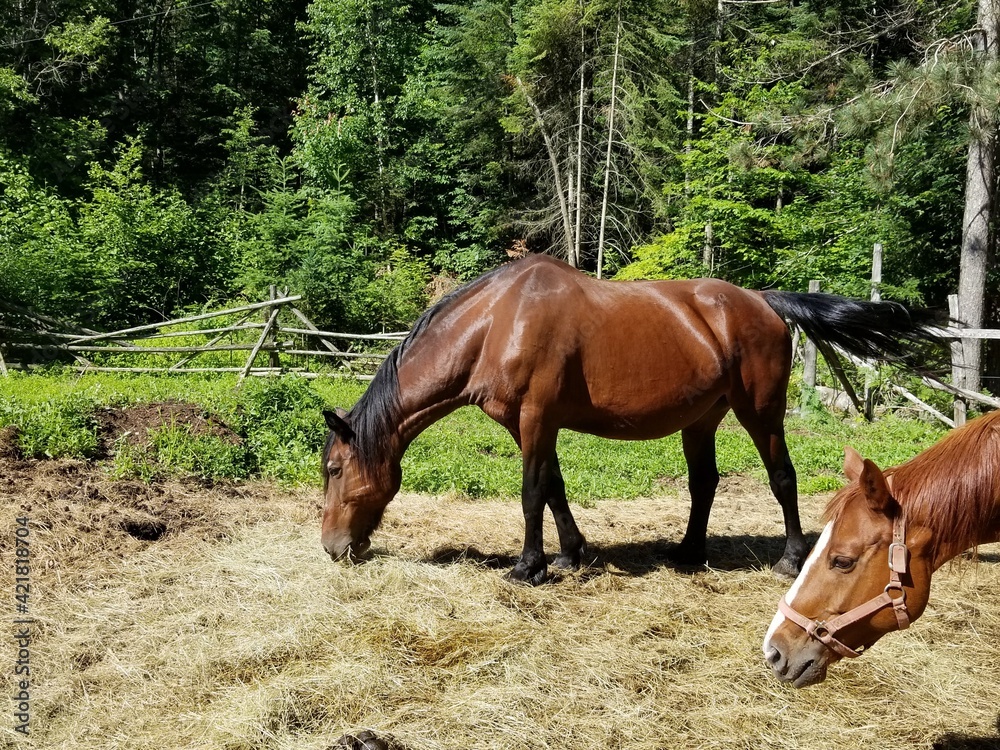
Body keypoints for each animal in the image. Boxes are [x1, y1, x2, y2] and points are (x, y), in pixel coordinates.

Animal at [321, 254, 944, 585]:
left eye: (333, 469)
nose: (332, 547)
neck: (499, 321)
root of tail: (762, 300)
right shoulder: (531, 425)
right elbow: (554, 487)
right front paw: (571, 553)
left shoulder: (536, 418)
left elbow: (531, 491)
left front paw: (530, 566)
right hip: (703, 419)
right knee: (704, 482)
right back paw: (689, 554)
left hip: (760, 413)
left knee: (782, 478)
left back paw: (790, 560)